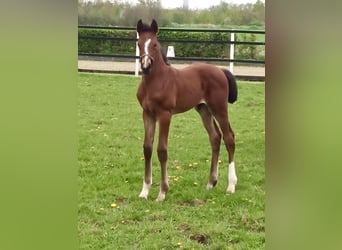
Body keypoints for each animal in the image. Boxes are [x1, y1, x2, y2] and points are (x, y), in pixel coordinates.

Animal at [136, 19, 238, 201]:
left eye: (154, 44)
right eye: (139, 43)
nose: (146, 66)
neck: (155, 82)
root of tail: (220, 70)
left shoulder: (165, 115)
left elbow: (162, 150)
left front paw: (162, 192)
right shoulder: (147, 114)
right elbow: (147, 148)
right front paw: (144, 191)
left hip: (219, 108)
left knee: (229, 138)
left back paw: (231, 185)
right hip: (204, 109)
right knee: (215, 137)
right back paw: (211, 183)